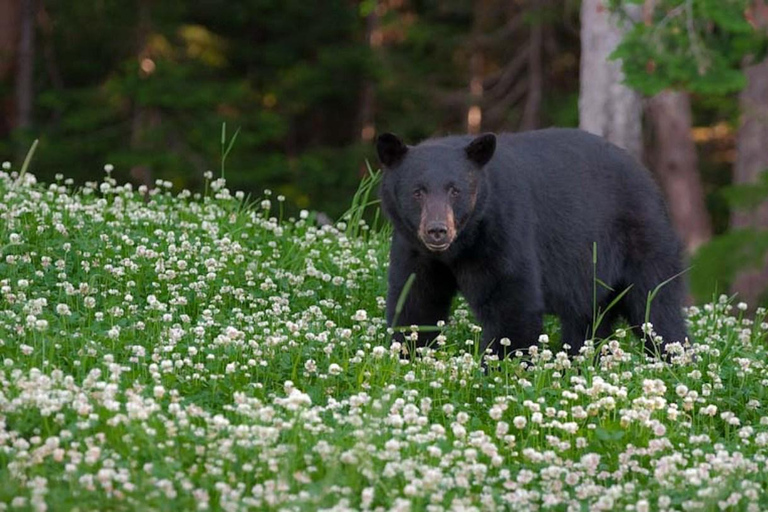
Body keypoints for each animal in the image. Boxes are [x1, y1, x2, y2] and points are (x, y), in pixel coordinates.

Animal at [376, 128, 688, 358]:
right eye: (417, 191)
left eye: (455, 190)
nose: (437, 230)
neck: (459, 247)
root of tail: (648, 177)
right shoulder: (414, 250)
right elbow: (416, 303)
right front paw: (408, 354)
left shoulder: (504, 231)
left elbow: (512, 303)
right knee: (587, 323)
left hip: (641, 241)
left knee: (657, 309)